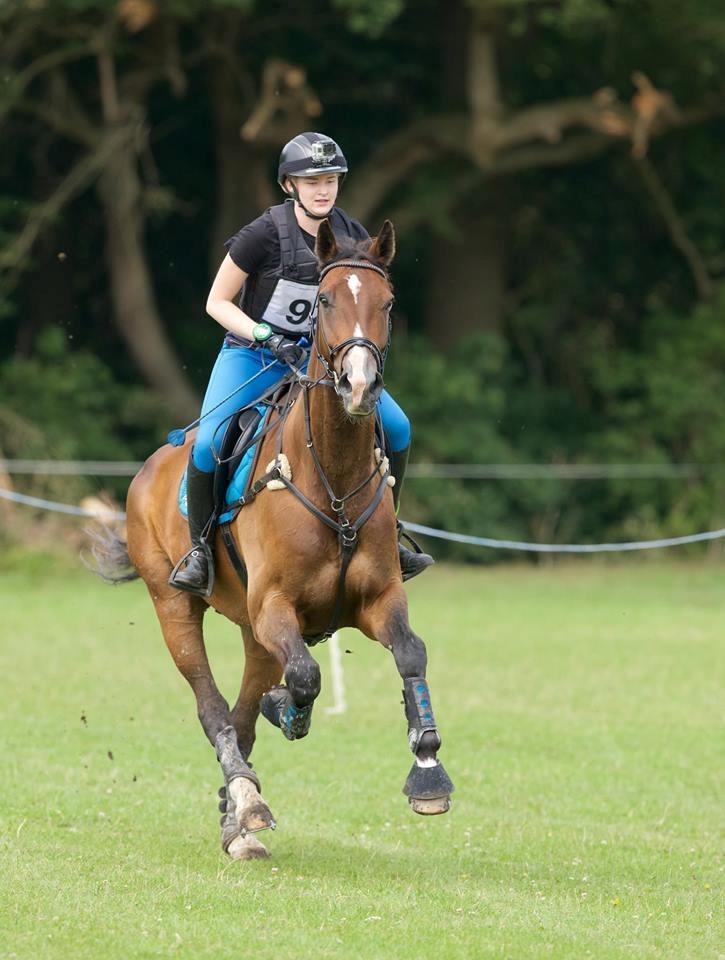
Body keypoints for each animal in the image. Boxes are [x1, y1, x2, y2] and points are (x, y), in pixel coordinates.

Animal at [90, 219, 452, 864]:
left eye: (387, 303)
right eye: (325, 300)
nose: (359, 387)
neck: (332, 482)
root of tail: (150, 467)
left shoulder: (378, 600)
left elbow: (411, 653)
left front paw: (429, 772)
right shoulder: (274, 608)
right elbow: (305, 677)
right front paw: (288, 709)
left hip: (252, 633)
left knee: (240, 717)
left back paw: (238, 819)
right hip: (176, 605)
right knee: (213, 709)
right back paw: (247, 799)